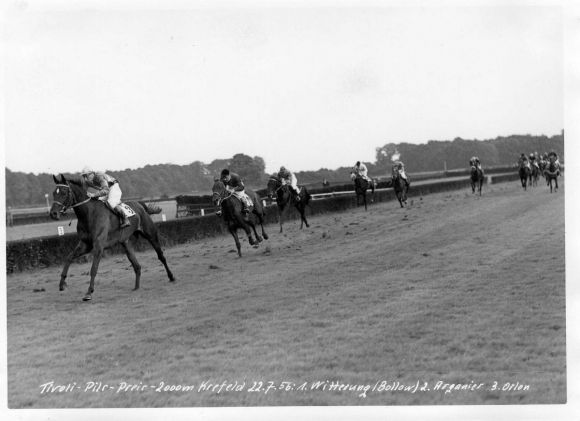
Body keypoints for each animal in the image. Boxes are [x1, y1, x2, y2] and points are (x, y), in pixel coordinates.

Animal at [49, 172, 174, 300]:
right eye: (54, 193)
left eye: (64, 192)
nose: (53, 213)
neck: (88, 214)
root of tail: (140, 205)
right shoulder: (85, 244)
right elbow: (69, 257)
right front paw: (62, 284)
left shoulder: (99, 245)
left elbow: (93, 269)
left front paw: (89, 292)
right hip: (125, 242)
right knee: (137, 265)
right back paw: (136, 287)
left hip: (151, 234)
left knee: (161, 256)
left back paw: (171, 277)